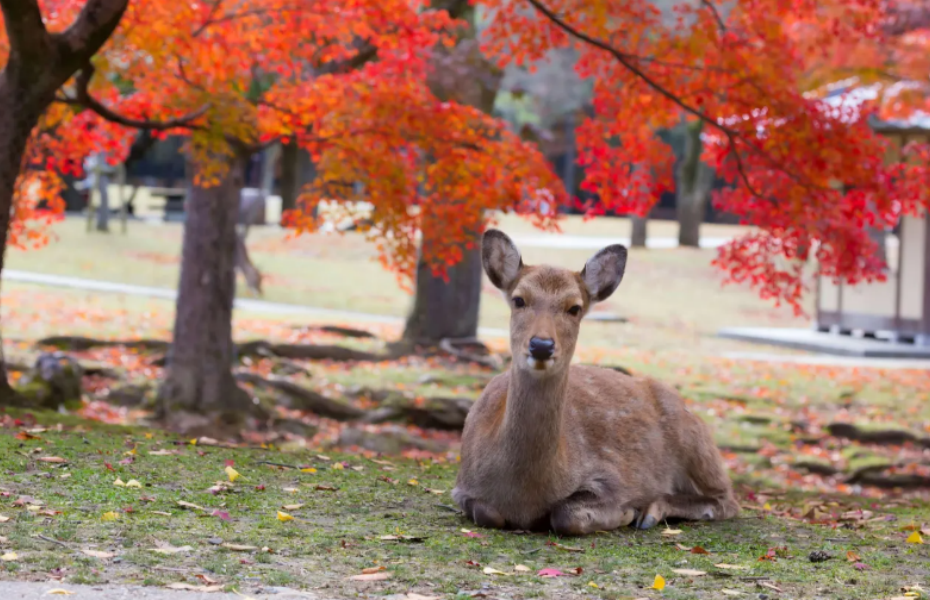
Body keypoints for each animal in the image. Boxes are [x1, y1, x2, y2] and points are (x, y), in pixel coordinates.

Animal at [452, 230, 740, 536]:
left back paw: (650, 511)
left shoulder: (613, 477)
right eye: (519, 300)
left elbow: (566, 514)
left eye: (574, 307)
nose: (541, 345)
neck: (524, 497)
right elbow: (487, 514)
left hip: (697, 442)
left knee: (727, 500)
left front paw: (626, 511)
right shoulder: (461, 486)